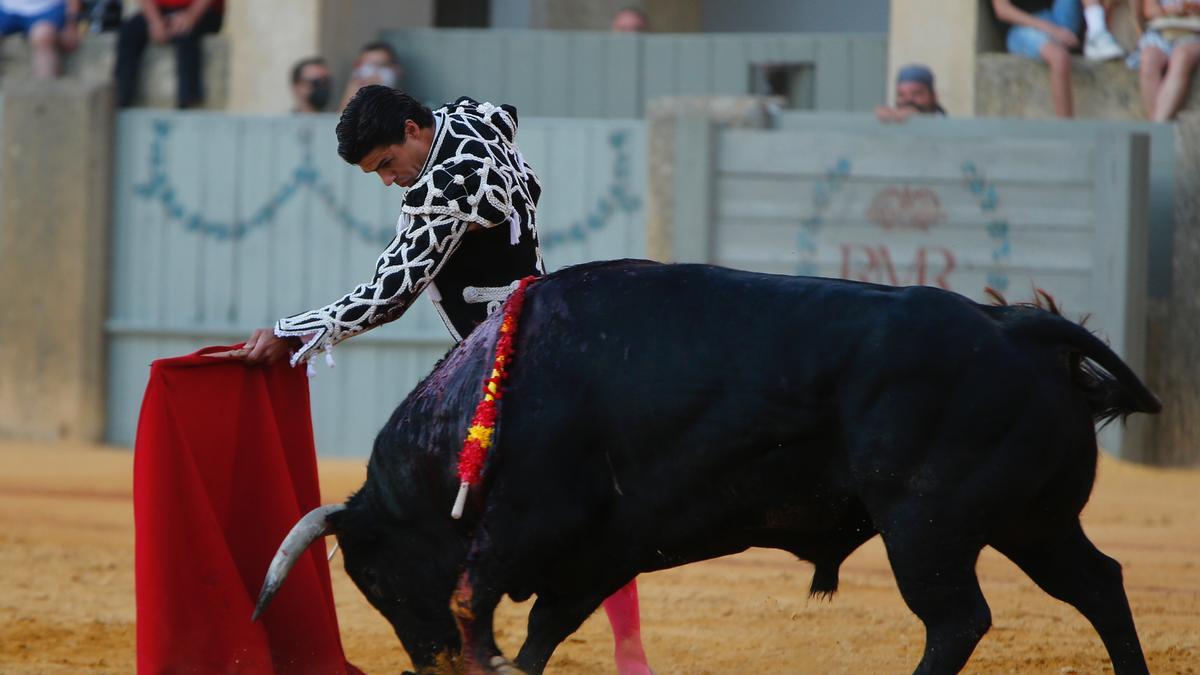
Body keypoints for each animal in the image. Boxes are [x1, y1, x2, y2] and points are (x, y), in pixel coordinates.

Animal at [255, 258, 1161, 672]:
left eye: (373, 577)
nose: (429, 663)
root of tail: (1015, 328)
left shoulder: (526, 526)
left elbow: (475, 601)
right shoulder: (600, 549)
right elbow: (545, 626)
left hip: (927, 526)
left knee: (958, 618)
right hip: (1032, 521)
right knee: (1099, 582)